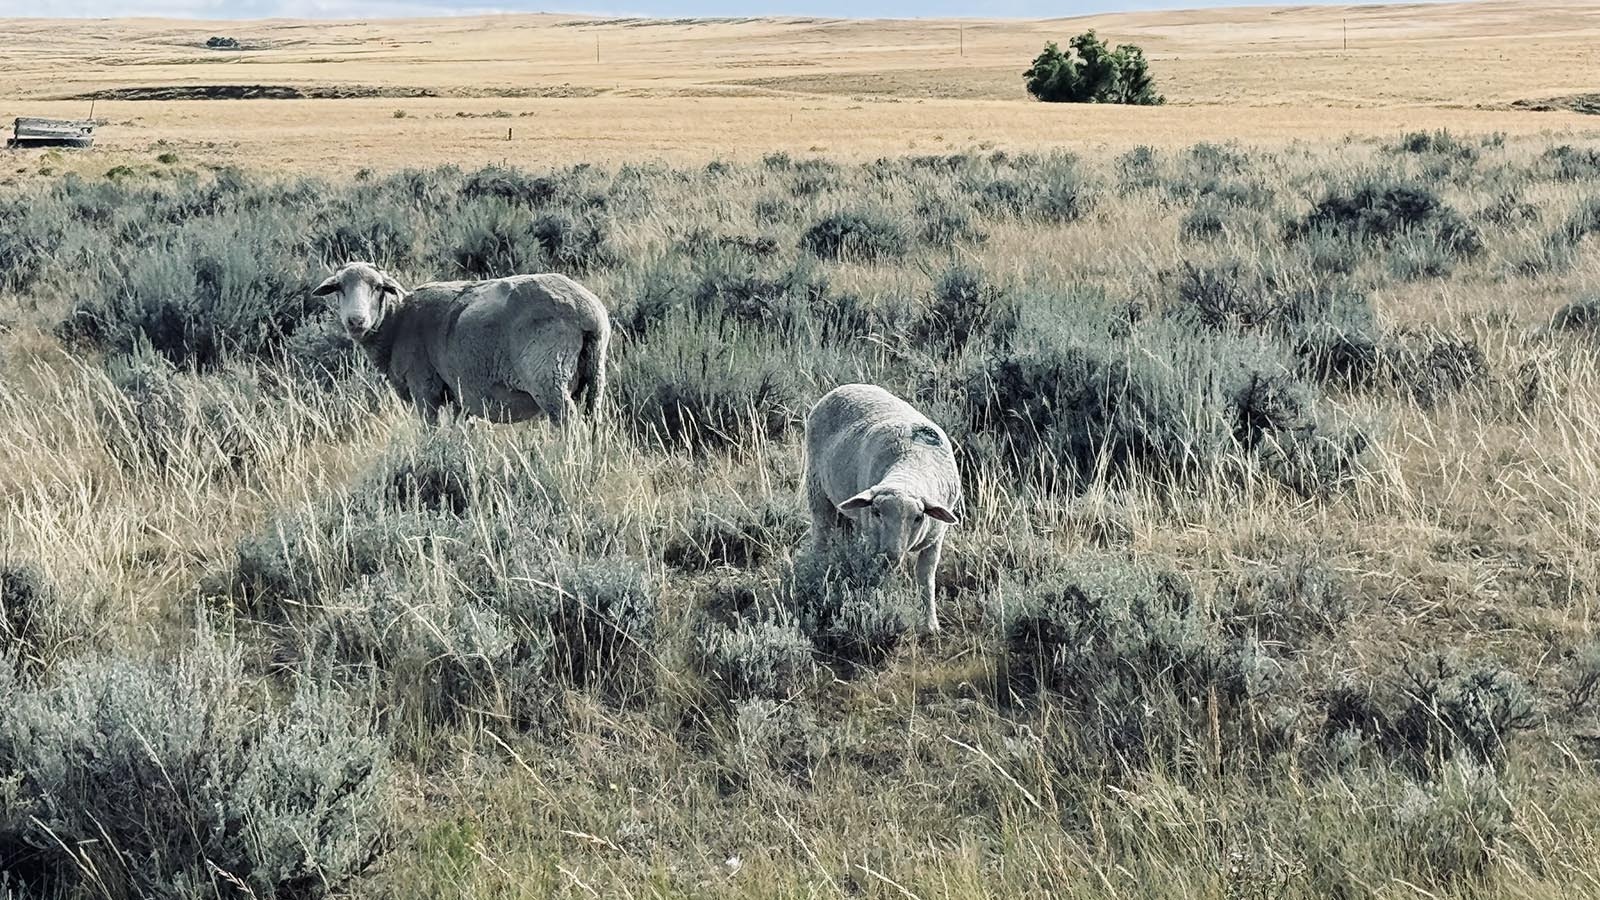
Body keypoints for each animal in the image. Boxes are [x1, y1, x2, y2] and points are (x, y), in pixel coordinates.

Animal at [308, 261, 608, 425]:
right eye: (339, 287)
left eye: (378, 287)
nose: (356, 321)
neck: (398, 322)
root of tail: (589, 312)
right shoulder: (458, 397)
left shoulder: (424, 387)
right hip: (594, 375)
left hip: (547, 374)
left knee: (567, 420)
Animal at [800, 381, 960, 627]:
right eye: (876, 512)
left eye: (918, 517)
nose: (890, 556)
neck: (909, 468)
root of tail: (846, 386)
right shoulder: (873, 537)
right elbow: (876, 574)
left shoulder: (935, 538)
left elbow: (926, 578)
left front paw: (930, 624)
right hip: (817, 487)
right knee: (822, 534)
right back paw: (818, 572)